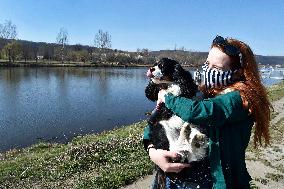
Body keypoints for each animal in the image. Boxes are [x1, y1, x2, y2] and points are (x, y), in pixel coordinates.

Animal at [144, 57, 209, 188]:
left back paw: (196, 139)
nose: (151, 69)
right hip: (161, 128)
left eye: (162, 66)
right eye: (154, 65)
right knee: (177, 152)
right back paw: (189, 136)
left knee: (190, 153)